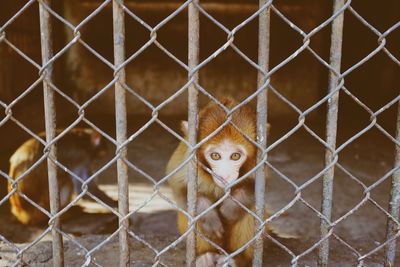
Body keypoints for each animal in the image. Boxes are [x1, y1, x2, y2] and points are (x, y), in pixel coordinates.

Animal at [166, 98, 268, 267]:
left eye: (235, 156)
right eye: (215, 156)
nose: (224, 176)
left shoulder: (258, 162)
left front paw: (234, 205)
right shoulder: (186, 157)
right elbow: (178, 188)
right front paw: (207, 213)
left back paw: (236, 258)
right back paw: (205, 256)